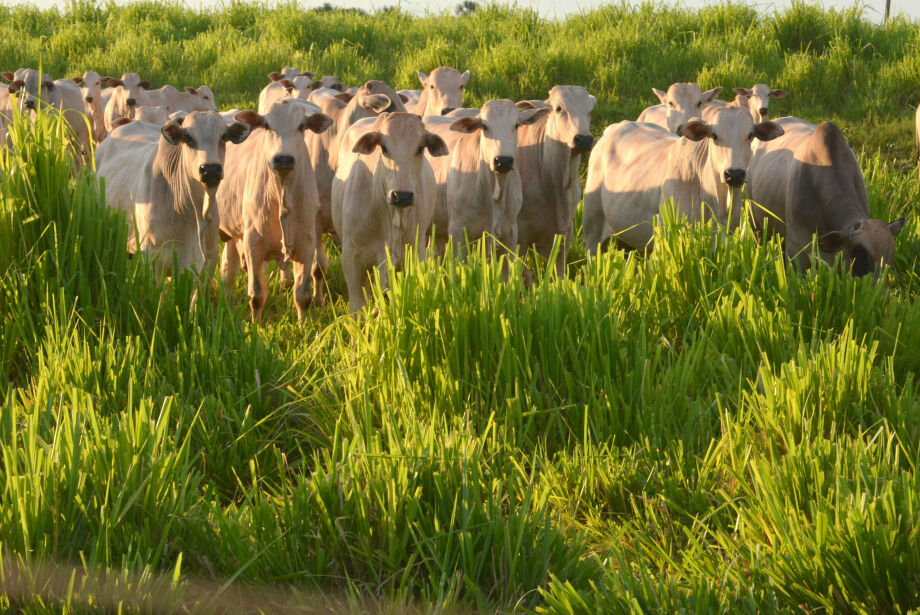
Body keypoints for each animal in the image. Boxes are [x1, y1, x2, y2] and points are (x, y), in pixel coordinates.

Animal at [217, 102, 332, 322]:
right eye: (267, 126)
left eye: (301, 126)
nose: (284, 159)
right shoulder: (253, 243)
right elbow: (257, 295)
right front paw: (256, 325)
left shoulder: (306, 243)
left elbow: (302, 294)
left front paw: (303, 325)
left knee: (230, 266)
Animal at [332, 112, 448, 312]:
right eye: (384, 148)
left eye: (420, 148)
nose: (402, 196)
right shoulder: (350, 255)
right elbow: (357, 307)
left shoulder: (414, 253)